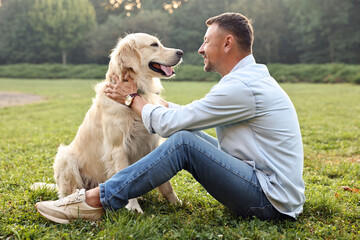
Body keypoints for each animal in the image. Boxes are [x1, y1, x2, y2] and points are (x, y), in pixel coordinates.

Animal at [47, 32, 183, 213]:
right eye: (154, 45)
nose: (181, 52)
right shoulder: (118, 148)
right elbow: (125, 177)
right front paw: (134, 208)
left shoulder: (152, 144)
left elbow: (166, 182)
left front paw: (175, 202)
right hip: (65, 157)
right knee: (71, 191)